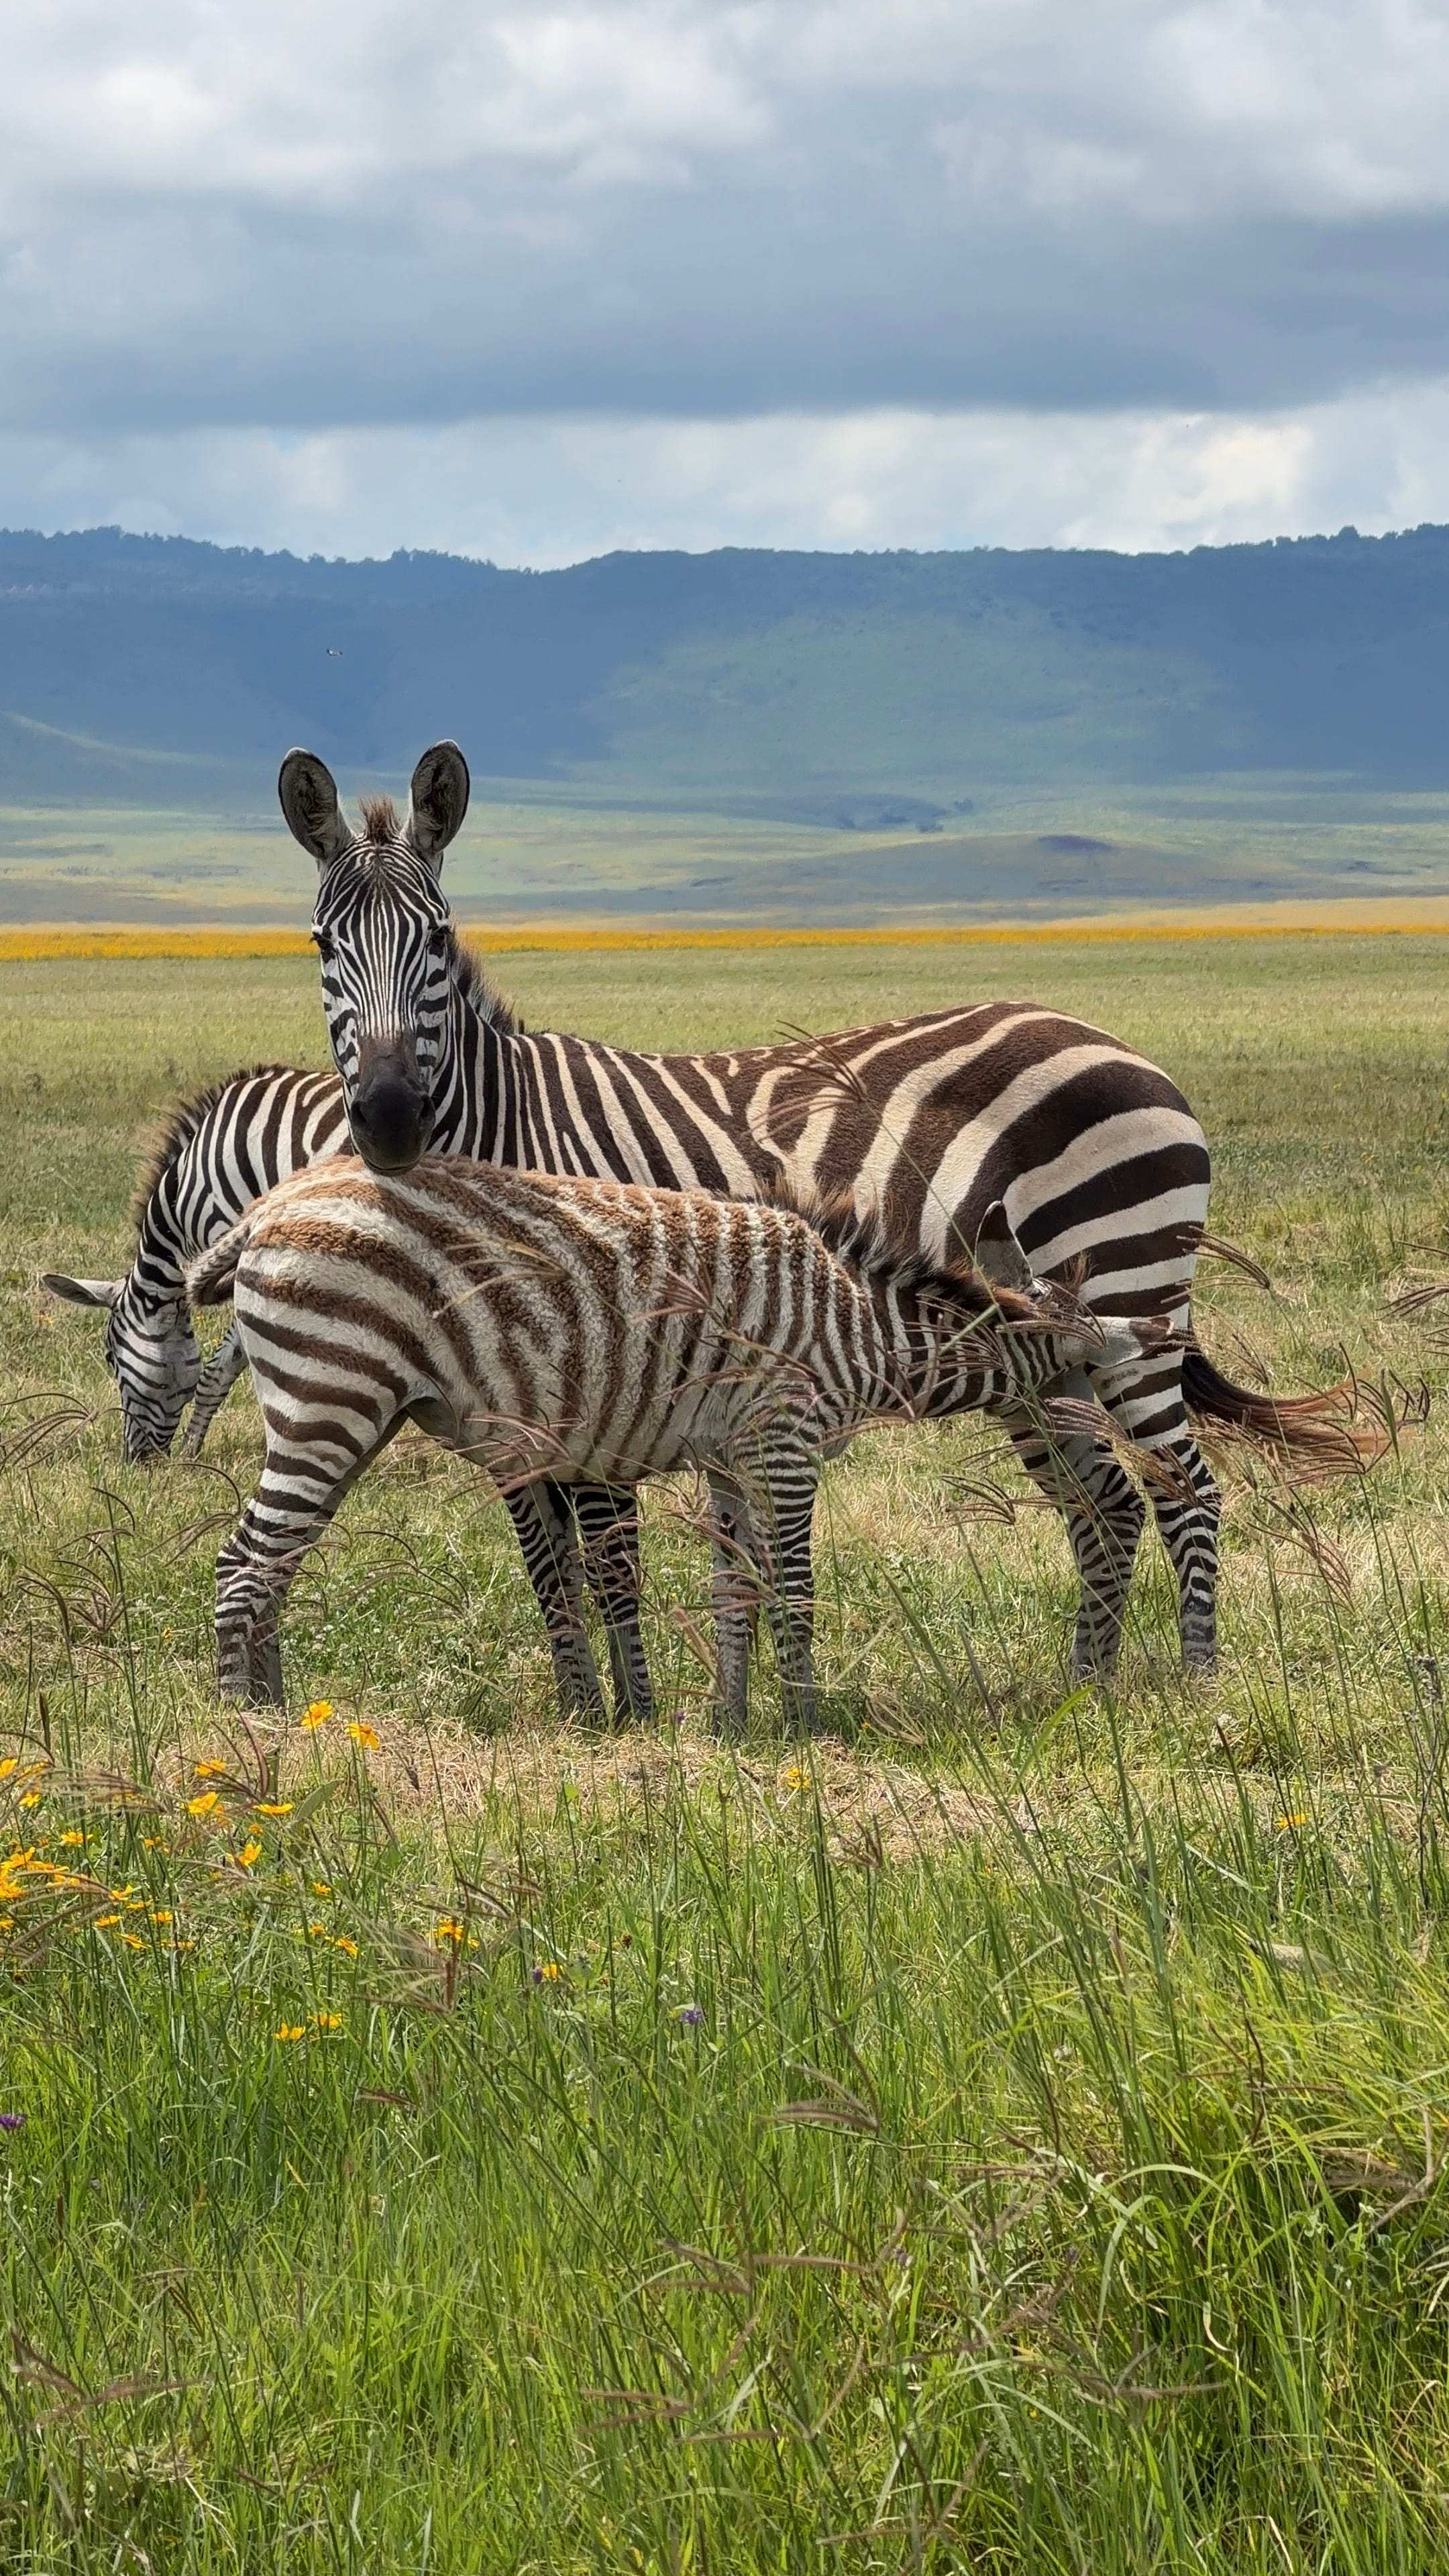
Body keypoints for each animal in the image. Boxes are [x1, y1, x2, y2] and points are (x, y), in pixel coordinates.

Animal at [187, 1158, 1164, 1726]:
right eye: (1085, 1379)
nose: (1117, 1447)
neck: (859, 1324)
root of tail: (265, 1212)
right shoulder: (785, 1439)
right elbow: (795, 1588)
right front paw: (806, 1722)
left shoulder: (732, 1457)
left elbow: (735, 1589)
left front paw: (733, 1723)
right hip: (332, 1398)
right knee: (243, 1564)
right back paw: (244, 1730)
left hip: (348, 1412)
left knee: (274, 1564)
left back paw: (278, 1710)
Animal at [276, 738, 1361, 1681]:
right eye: (324, 945)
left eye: (437, 941)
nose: (388, 1117)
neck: (506, 1130)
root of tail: (1116, 1041)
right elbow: (551, 1563)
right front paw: (587, 1709)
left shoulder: (599, 1365)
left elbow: (609, 1554)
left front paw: (634, 1714)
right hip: (1036, 1342)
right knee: (1108, 1506)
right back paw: (1087, 1687)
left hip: (1128, 1284)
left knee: (1188, 1491)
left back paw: (1195, 1685)